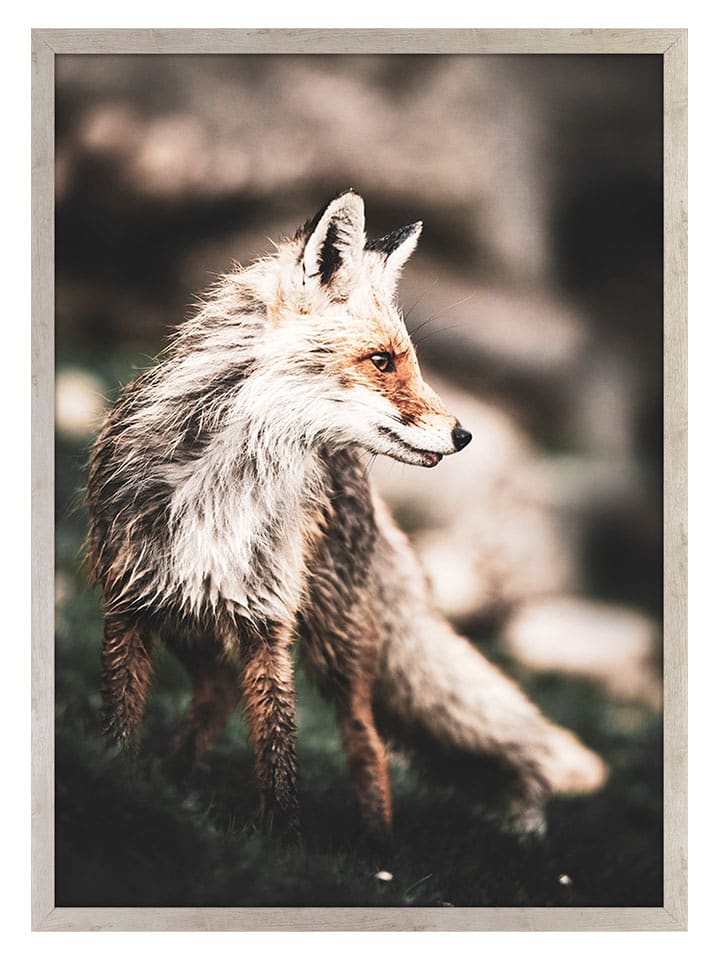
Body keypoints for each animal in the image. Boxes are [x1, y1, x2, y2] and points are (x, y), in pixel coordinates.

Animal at [86, 190, 606, 842]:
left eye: (410, 361)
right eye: (382, 361)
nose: (464, 435)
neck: (217, 490)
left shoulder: (269, 622)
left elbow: (279, 751)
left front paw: (281, 843)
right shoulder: (128, 602)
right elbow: (121, 722)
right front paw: (121, 782)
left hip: (334, 643)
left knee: (365, 738)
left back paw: (375, 846)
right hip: (192, 619)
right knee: (216, 693)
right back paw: (170, 780)